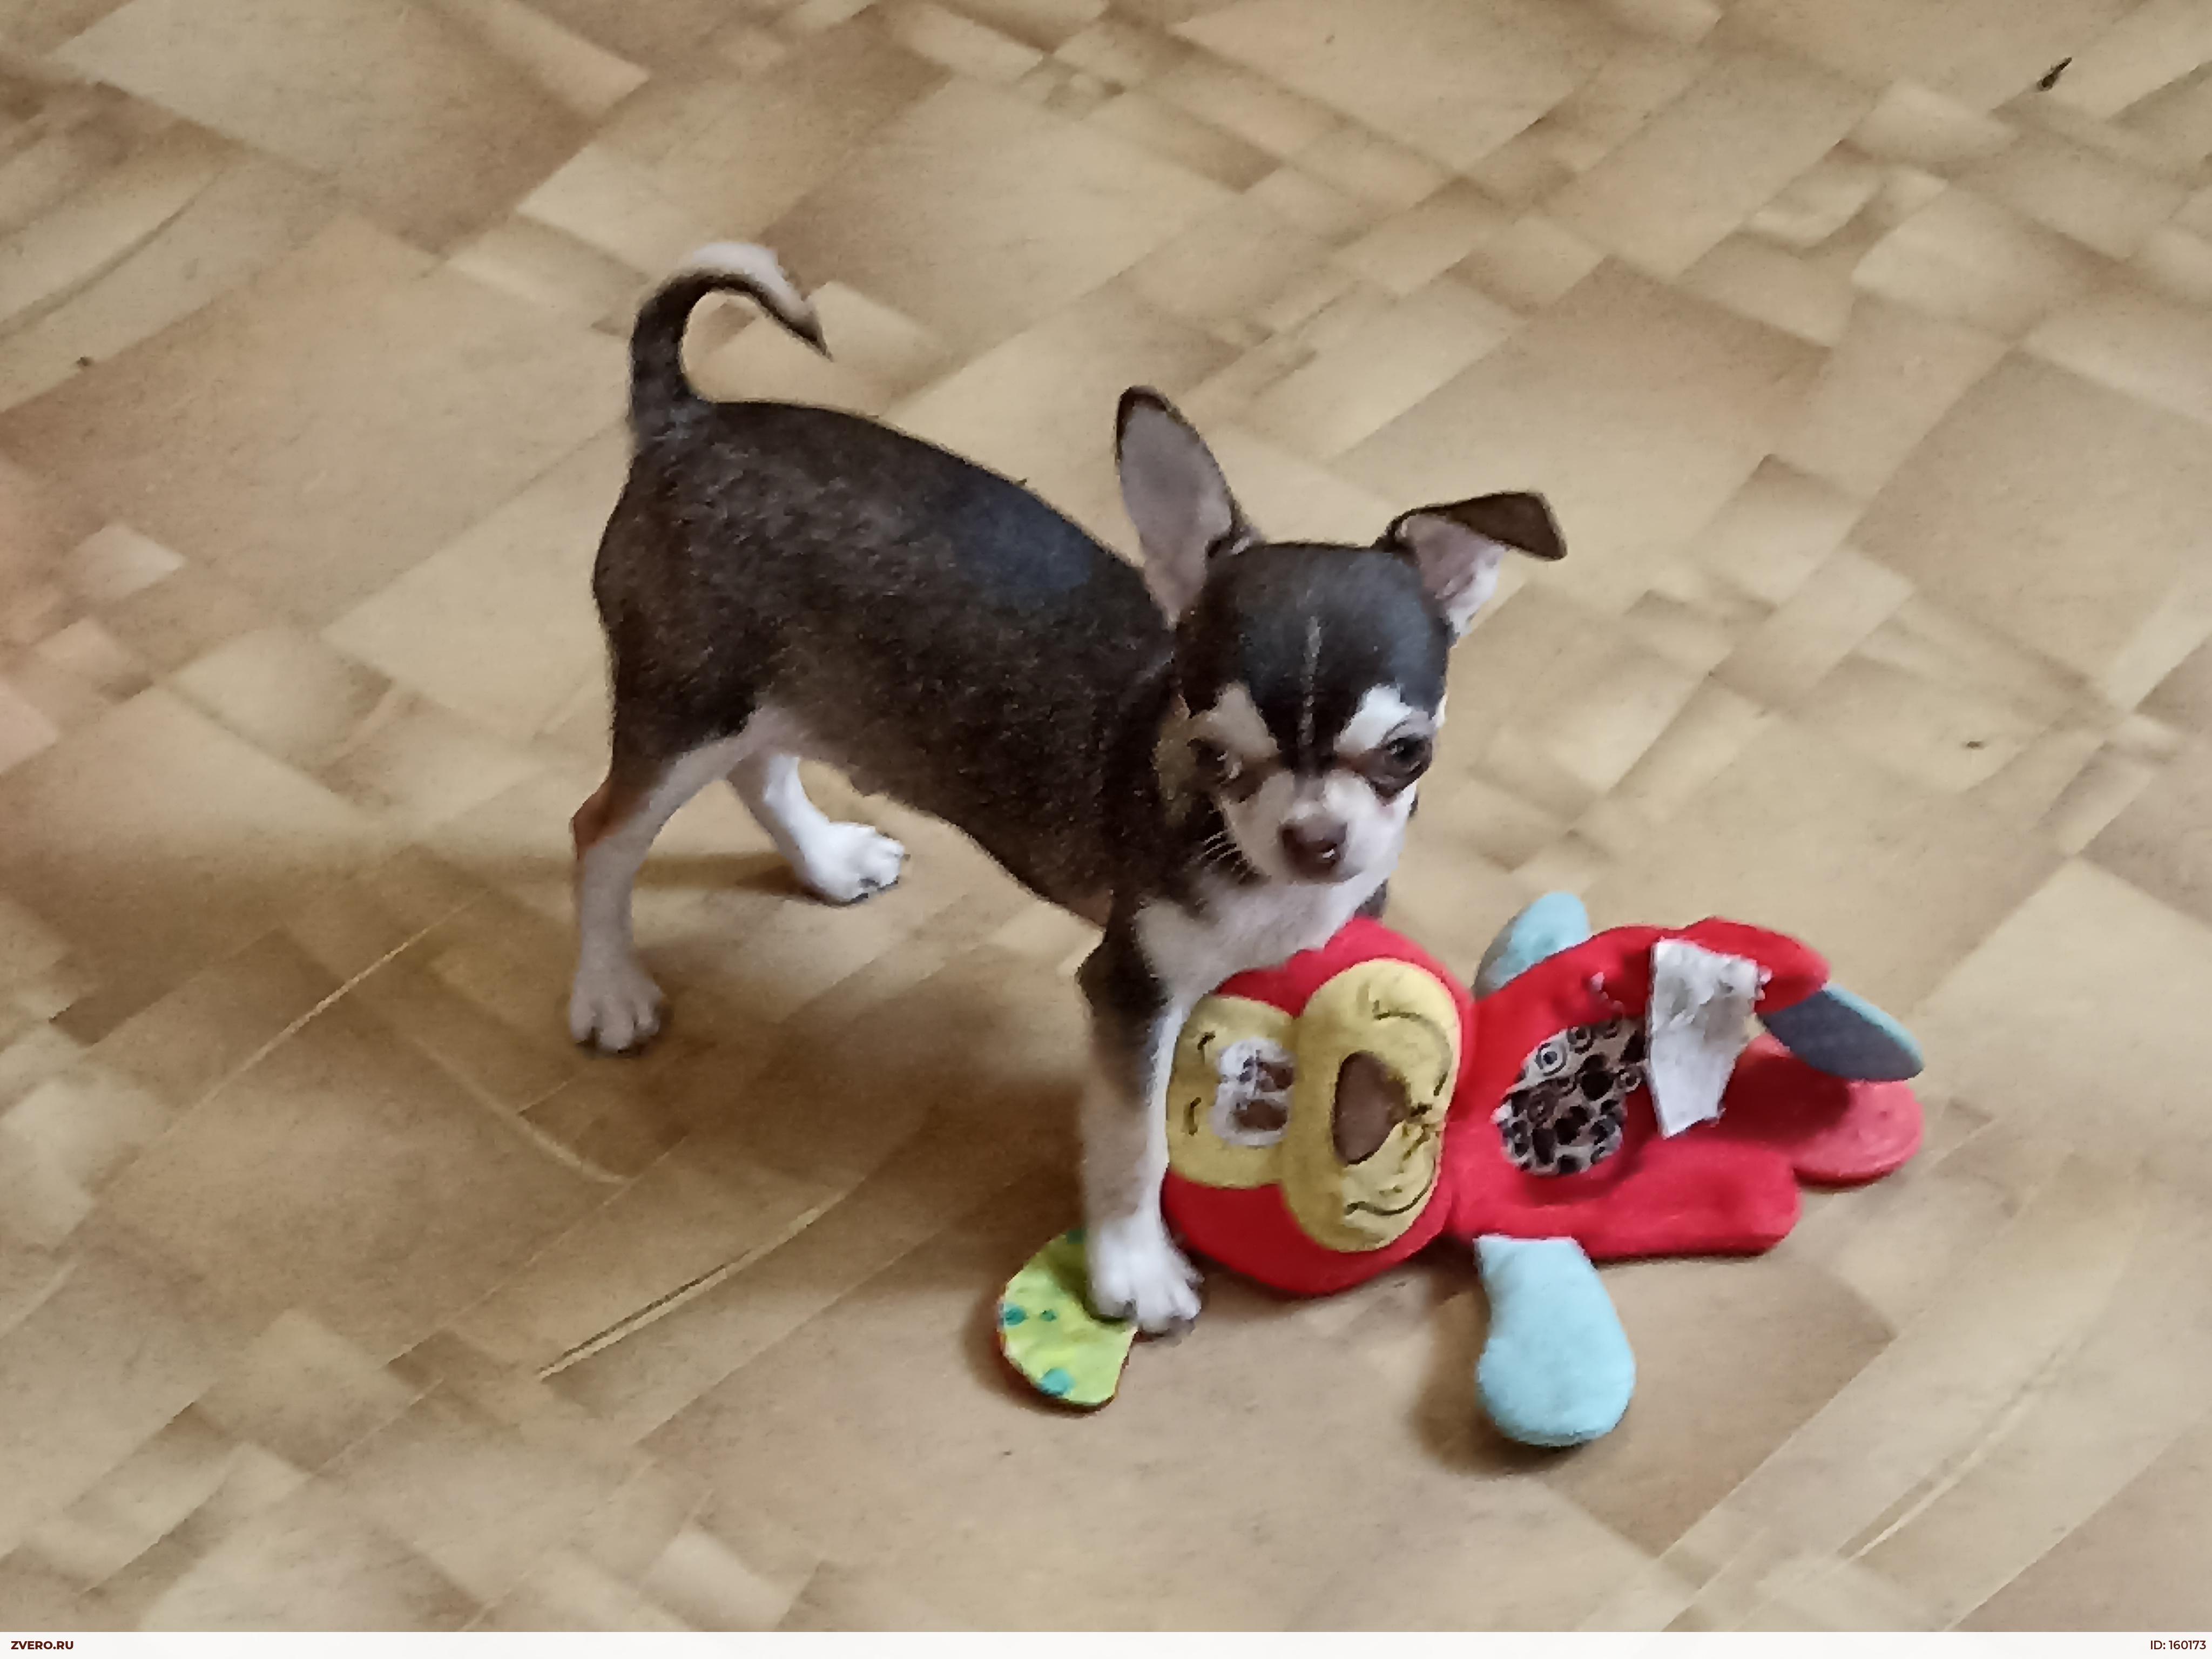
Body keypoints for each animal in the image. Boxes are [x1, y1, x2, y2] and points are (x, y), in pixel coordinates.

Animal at [569, 244, 1565, 1332]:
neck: (1250, 873)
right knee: (600, 834)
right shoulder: (1131, 991)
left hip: (771, 700)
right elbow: (1135, 1136)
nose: (1316, 840)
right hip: (685, 711)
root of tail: (687, 419)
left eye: (1405, 754)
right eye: (1215, 753)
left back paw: (827, 859)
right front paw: (1134, 1264)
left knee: (759, 770)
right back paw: (609, 989)